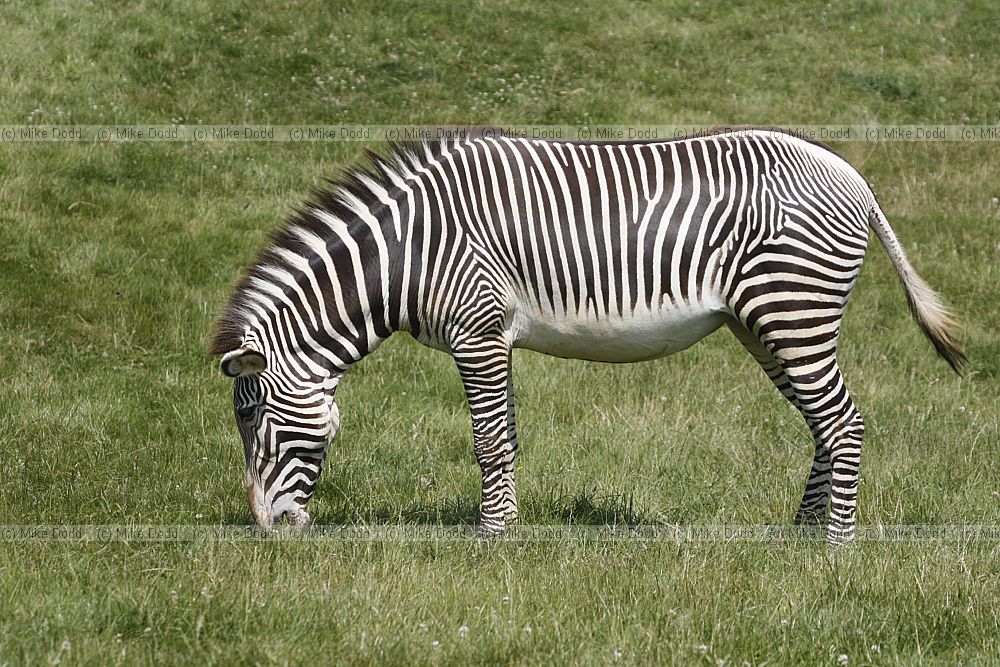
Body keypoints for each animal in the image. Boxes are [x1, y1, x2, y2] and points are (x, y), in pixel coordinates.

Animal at [210, 127, 964, 544]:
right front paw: (510, 532)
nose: (267, 532)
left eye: (256, 420)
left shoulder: (477, 330)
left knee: (844, 422)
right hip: (768, 324)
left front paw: (489, 540)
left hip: (792, 310)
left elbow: (489, 441)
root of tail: (851, 174)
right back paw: (800, 535)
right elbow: (507, 438)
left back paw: (834, 548)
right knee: (823, 424)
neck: (409, 252)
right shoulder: (494, 338)